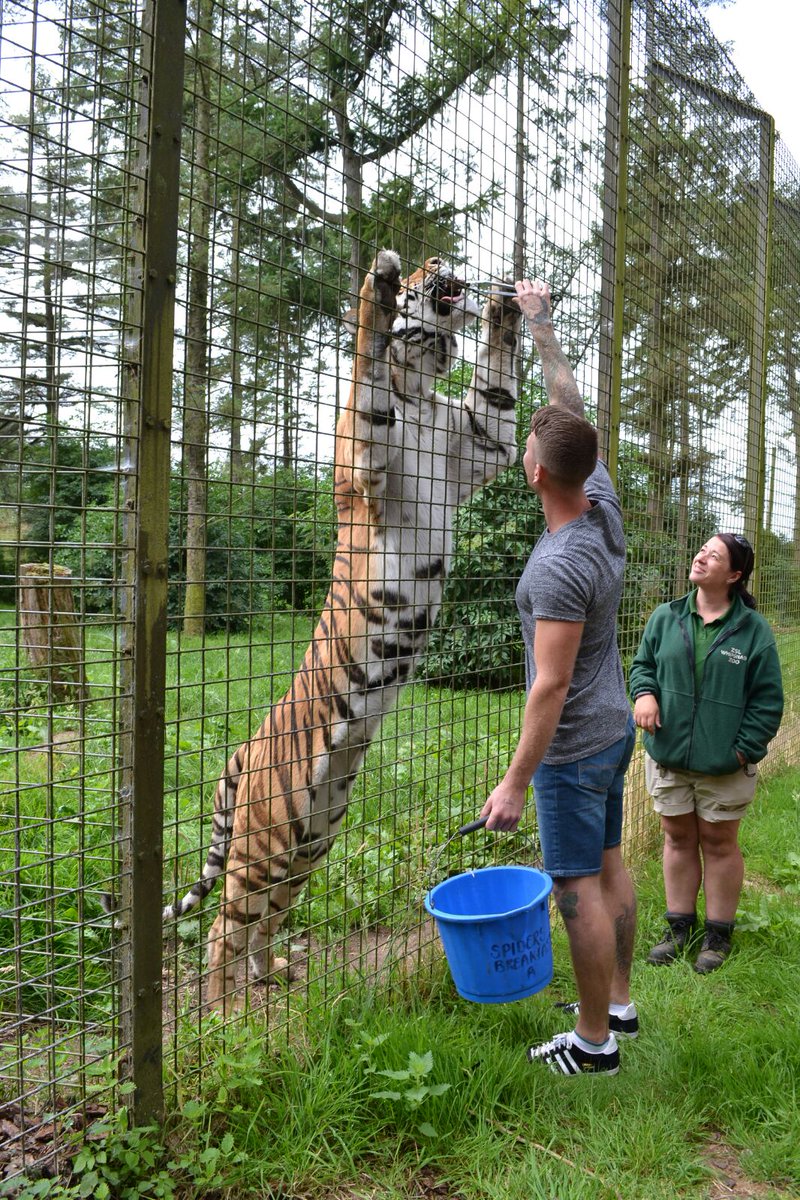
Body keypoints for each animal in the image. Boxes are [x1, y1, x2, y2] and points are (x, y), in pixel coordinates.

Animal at [168, 250, 522, 1012]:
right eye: (420, 265)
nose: (438, 261)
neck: (420, 392)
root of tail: (242, 749)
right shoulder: (369, 455)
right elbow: (365, 358)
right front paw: (378, 287)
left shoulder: (484, 442)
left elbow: (498, 391)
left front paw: (505, 309)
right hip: (267, 841)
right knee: (222, 927)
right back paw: (224, 1013)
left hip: (313, 839)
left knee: (265, 920)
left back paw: (271, 976)